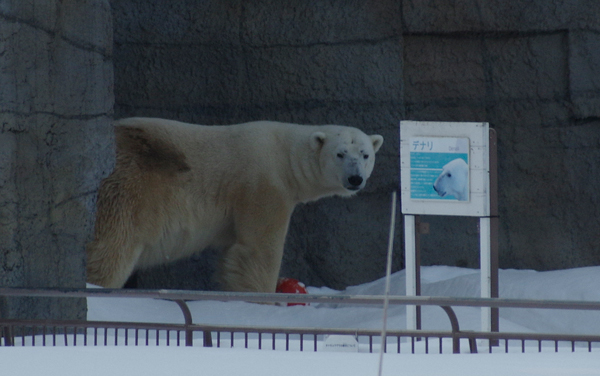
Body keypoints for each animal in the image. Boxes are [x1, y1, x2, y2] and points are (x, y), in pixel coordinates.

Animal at [85, 117, 384, 290]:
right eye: (340, 154)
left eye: (365, 154)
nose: (355, 179)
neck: (284, 154)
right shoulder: (263, 187)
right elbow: (258, 250)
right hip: (129, 192)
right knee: (110, 251)